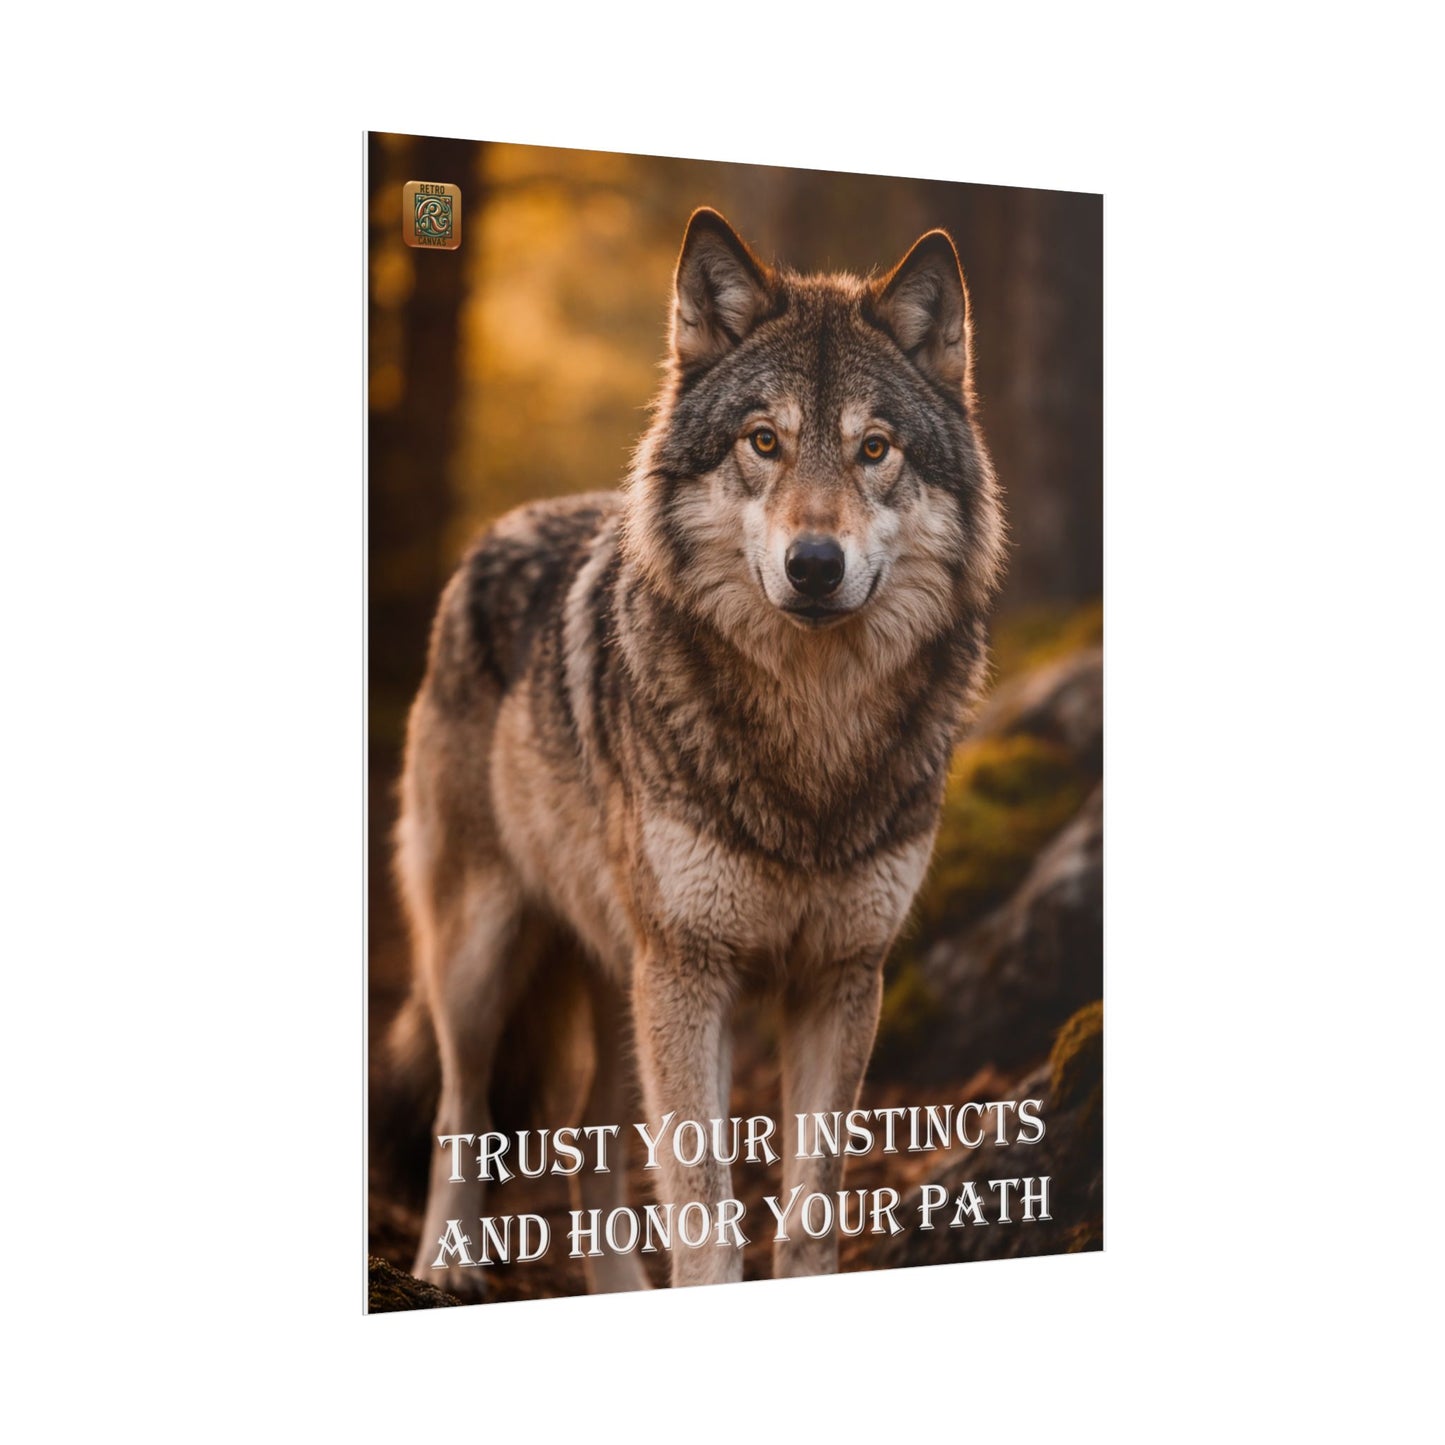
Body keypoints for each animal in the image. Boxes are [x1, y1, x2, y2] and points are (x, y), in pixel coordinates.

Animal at [385, 208, 1005, 1300]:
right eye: (763, 441)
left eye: (873, 448)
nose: (814, 564)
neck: (810, 741)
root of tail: (493, 534)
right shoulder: (691, 970)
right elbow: (704, 1210)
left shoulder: (841, 976)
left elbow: (804, 1214)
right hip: (485, 957)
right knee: (465, 1113)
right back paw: (445, 1272)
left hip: (620, 977)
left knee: (585, 1138)